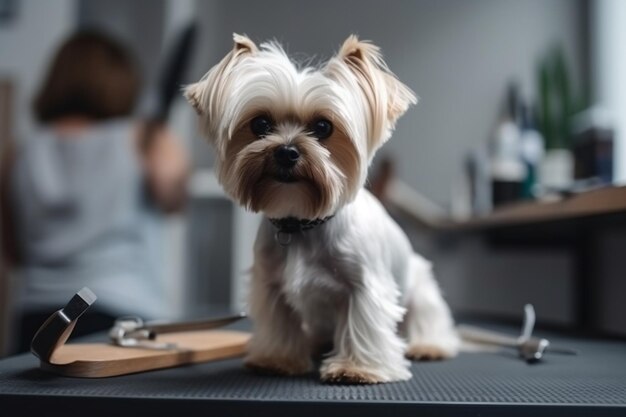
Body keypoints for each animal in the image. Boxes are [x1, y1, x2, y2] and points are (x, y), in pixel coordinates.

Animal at [185, 35, 458, 384]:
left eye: (323, 127)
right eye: (260, 123)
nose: (286, 152)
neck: (302, 222)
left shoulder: (365, 286)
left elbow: (362, 324)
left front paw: (356, 368)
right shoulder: (271, 286)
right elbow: (280, 324)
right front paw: (278, 359)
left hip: (421, 288)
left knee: (428, 318)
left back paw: (429, 346)